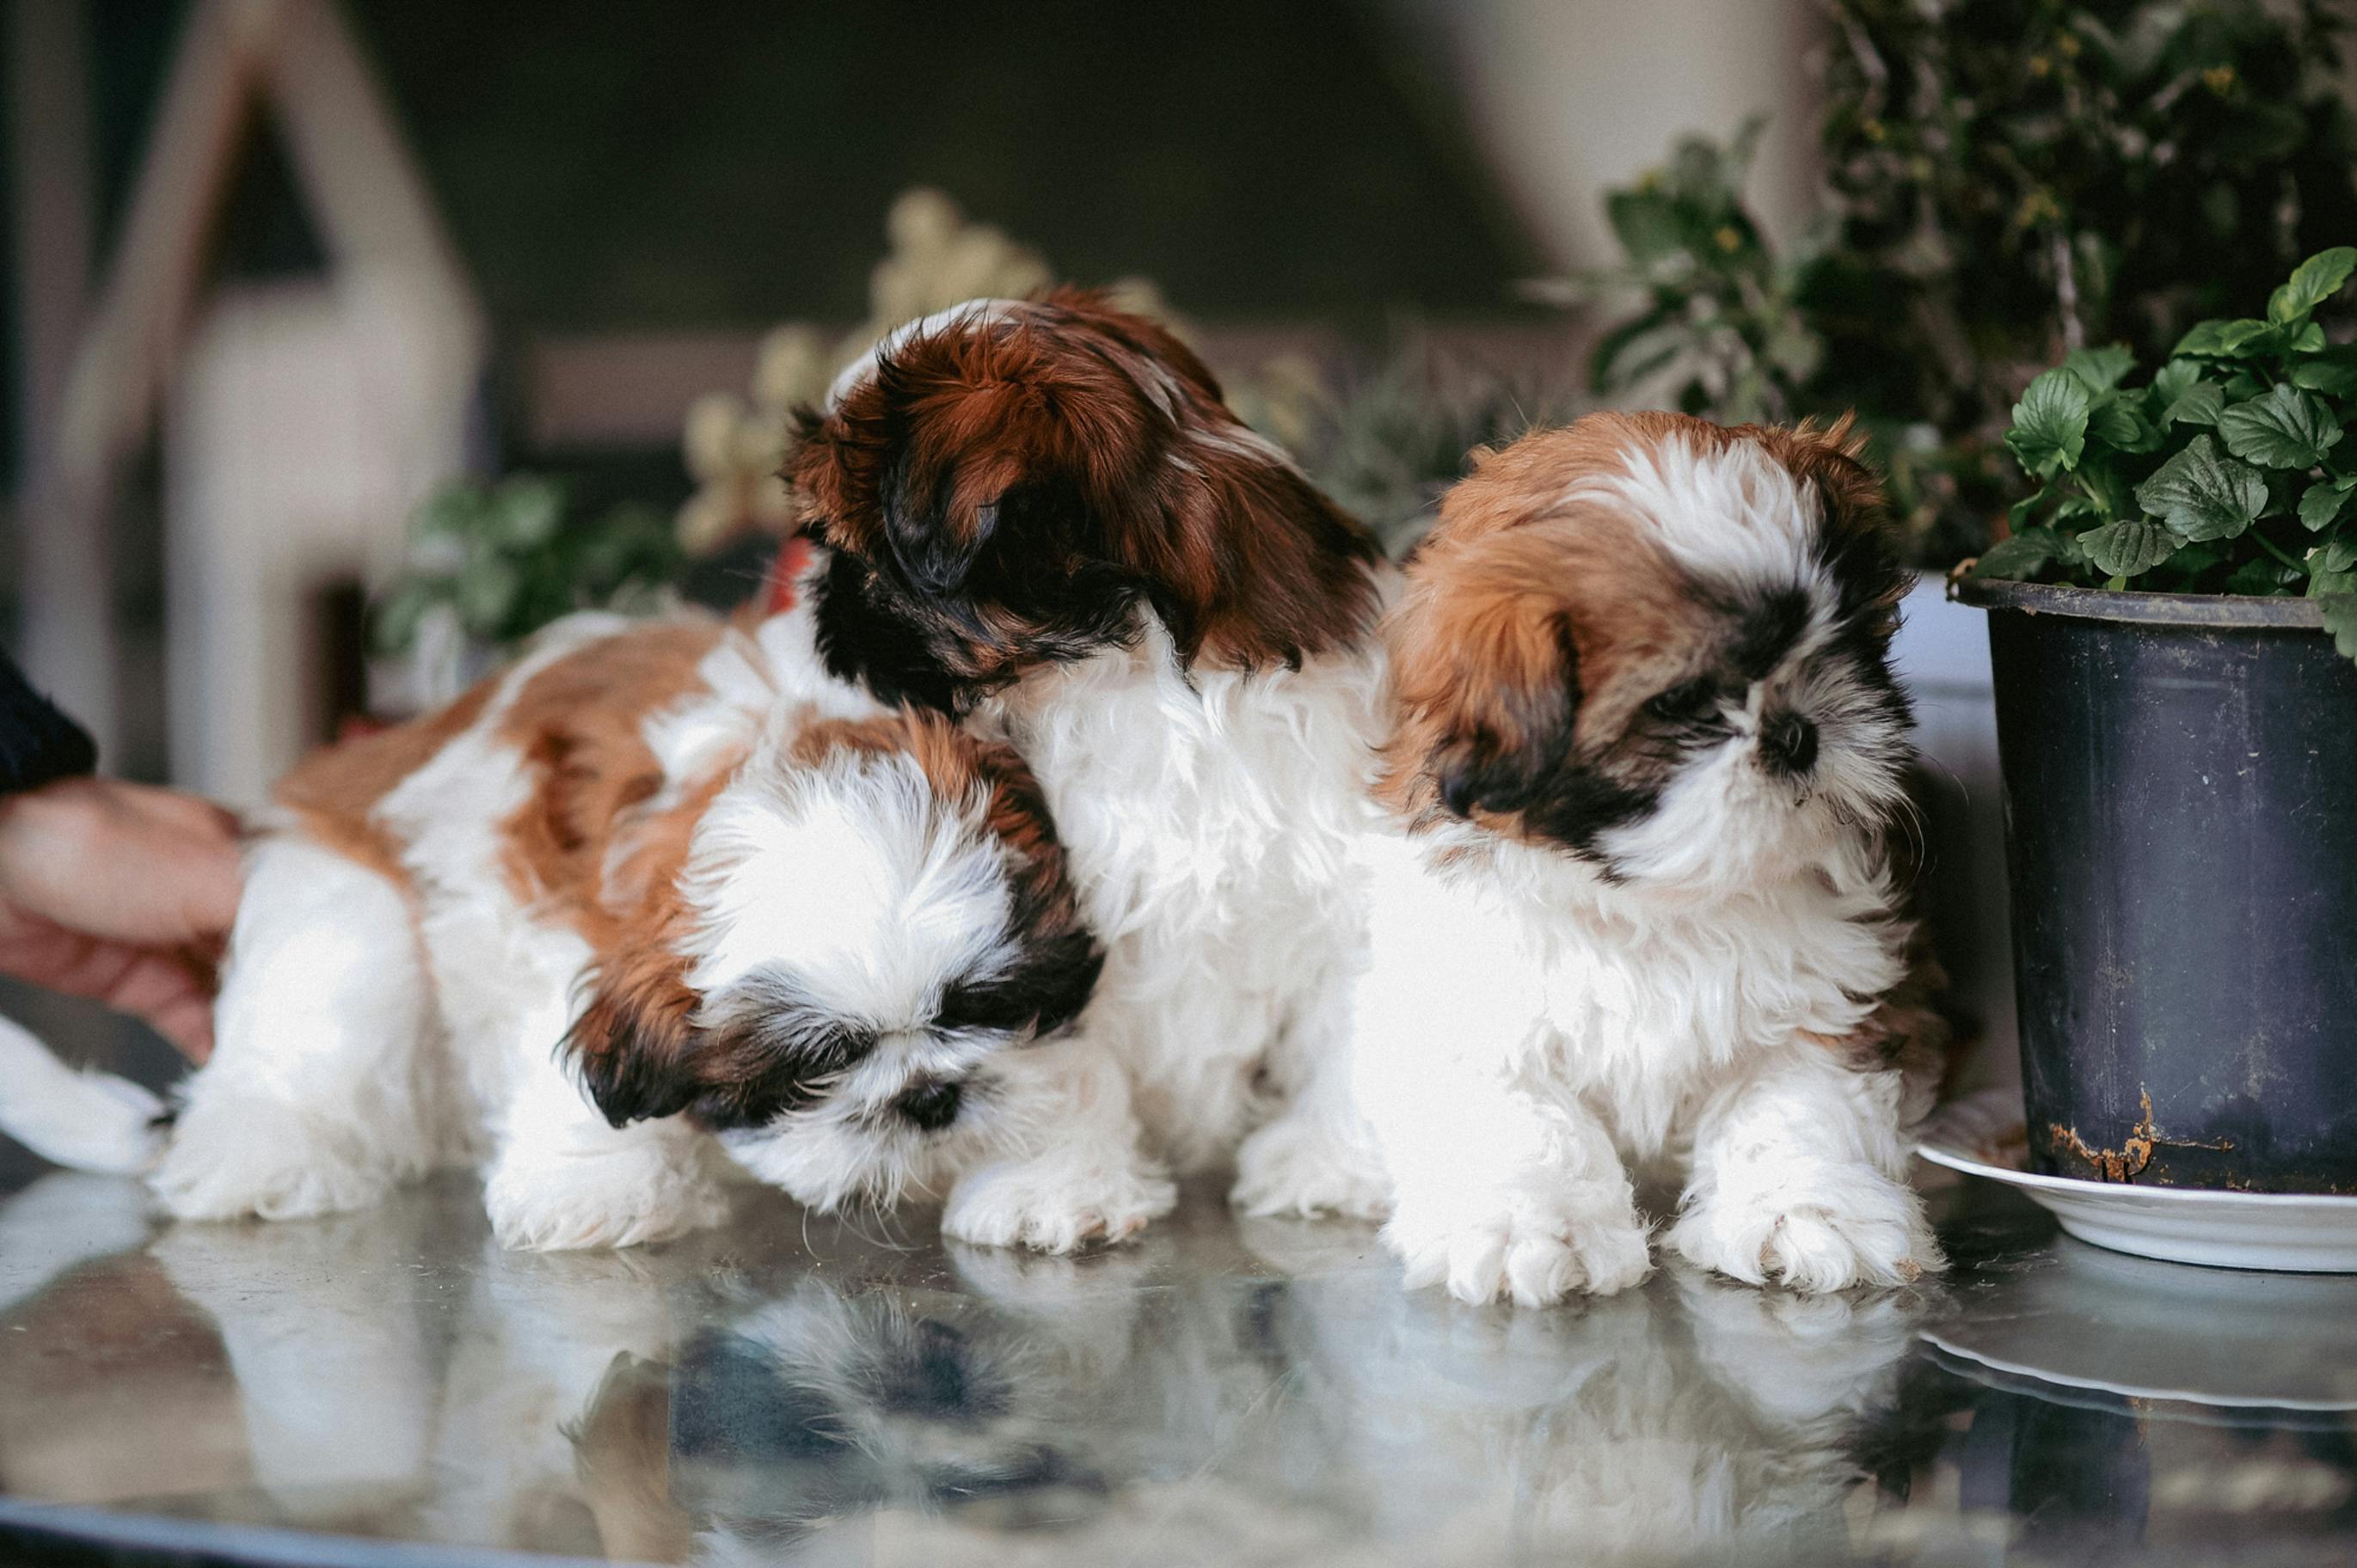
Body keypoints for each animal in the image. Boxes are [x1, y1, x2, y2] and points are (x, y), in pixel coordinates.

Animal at [2, 601, 1102, 1245]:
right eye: (815, 1067)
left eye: (986, 1005)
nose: (928, 1097)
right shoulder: (531, 900)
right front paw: (597, 1182)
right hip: (344, 902)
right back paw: (264, 1153)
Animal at [783, 290, 1395, 1245]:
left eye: (851, 556)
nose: (819, 608)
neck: (1138, 686)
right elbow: (1064, 1059)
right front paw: (1055, 1187)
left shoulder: (1343, 887)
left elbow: (1346, 1025)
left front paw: (1327, 1163)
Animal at [1254, 410, 1951, 1302]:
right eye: (1682, 702)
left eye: (1853, 647)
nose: (1799, 732)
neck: (1652, 901)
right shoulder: (1467, 1009)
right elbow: (1517, 1115)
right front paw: (1528, 1224)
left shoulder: (1832, 995)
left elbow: (1793, 1102)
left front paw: (1802, 1211)